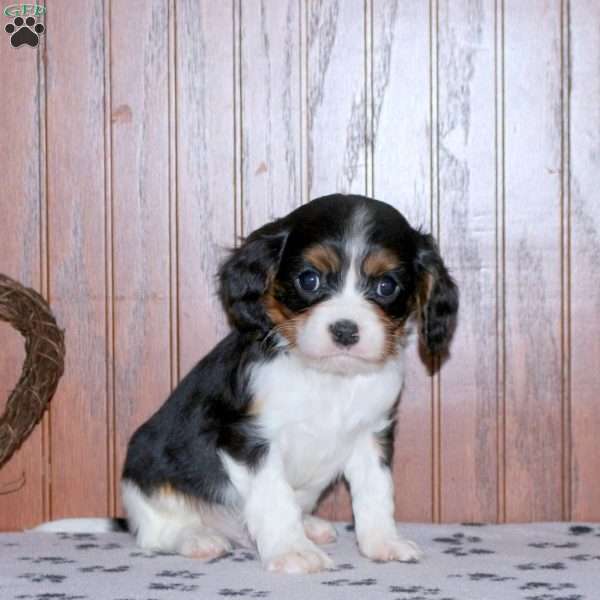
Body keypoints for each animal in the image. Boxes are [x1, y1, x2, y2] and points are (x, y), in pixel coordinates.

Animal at [122, 195, 460, 576]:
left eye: (386, 286)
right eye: (309, 280)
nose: (345, 330)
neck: (329, 377)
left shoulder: (371, 435)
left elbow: (376, 493)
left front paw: (383, 543)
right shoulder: (252, 439)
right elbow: (274, 498)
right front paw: (292, 551)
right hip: (146, 475)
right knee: (156, 532)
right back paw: (198, 538)